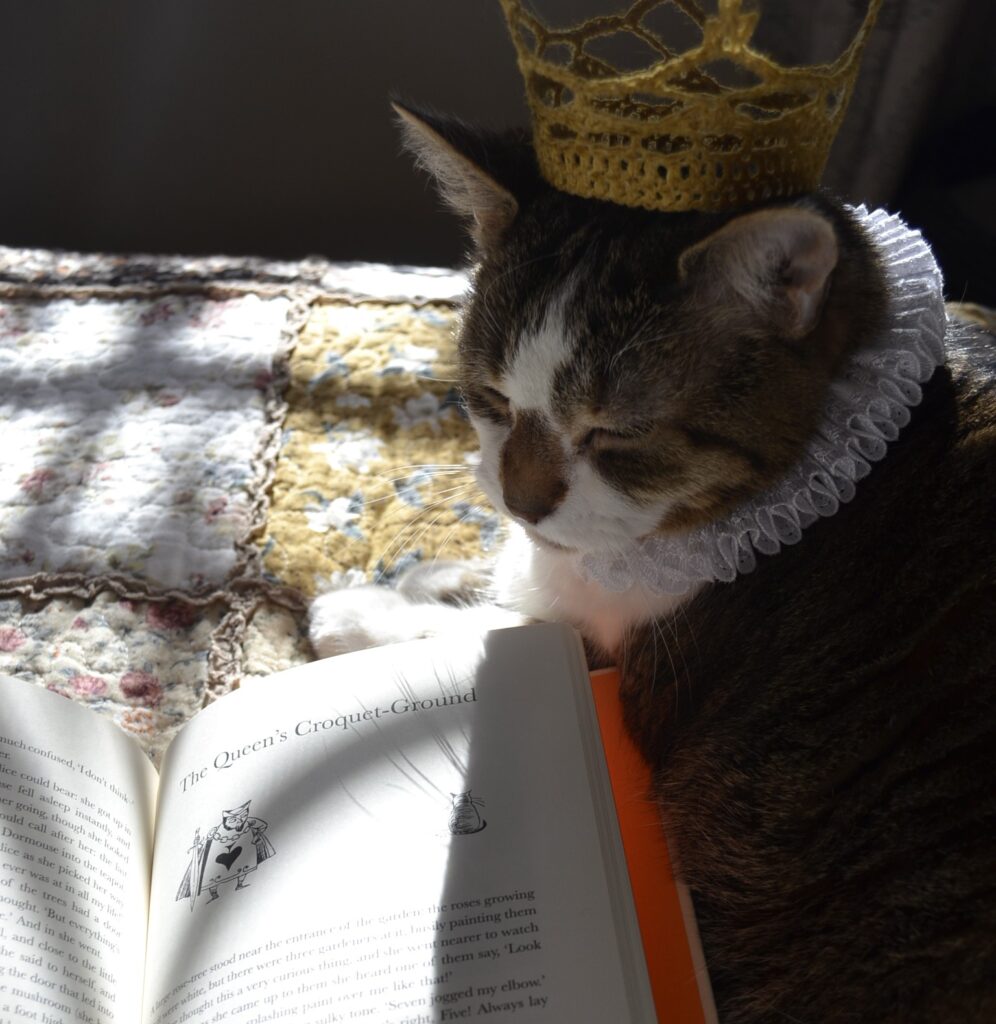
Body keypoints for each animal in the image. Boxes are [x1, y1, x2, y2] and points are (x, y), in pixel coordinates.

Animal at [307, 108, 990, 1019]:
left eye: (614, 436)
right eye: (491, 401)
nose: (522, 502)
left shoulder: (615, 654)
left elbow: (484, 632)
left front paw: (362, 613)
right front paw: (444, 573)